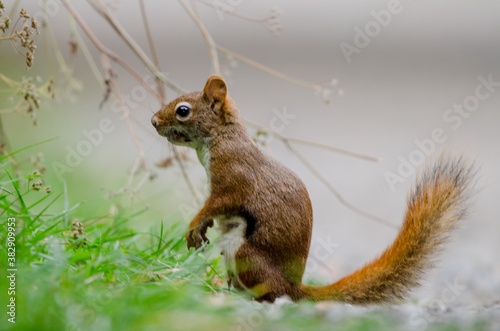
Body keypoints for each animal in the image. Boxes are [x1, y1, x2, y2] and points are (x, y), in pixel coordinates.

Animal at [150, 76, 474, 304]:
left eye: (183, 111)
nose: (153, 121)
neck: (220, 138)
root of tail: (293, 289)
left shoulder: (233, 177)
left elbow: (218, 202)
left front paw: (194, 224)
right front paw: (200, 228)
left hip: (246, 255)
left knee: (268, 295)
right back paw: (219, 288)